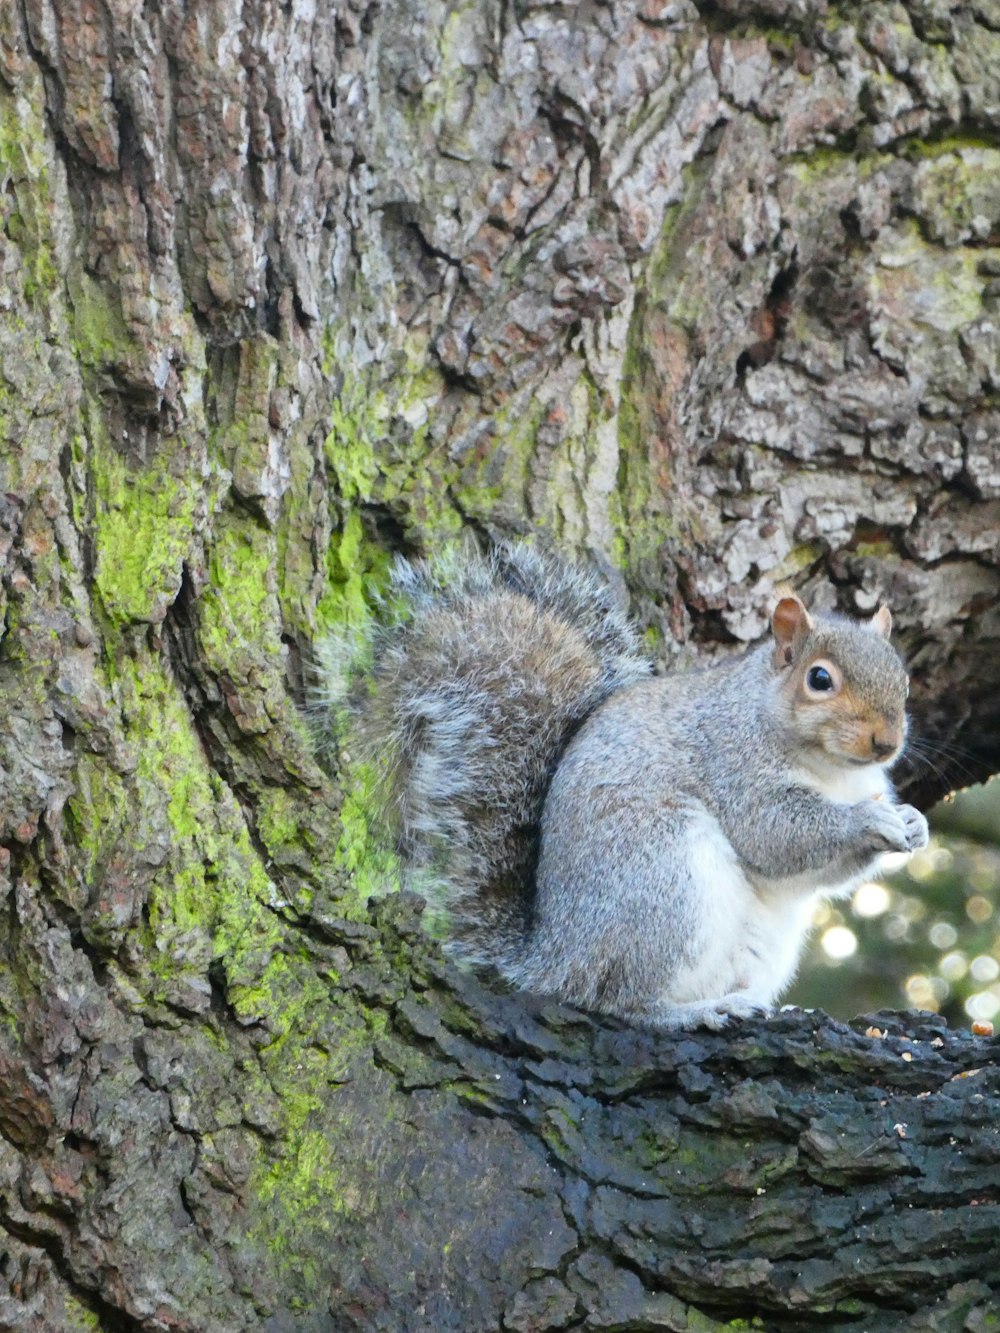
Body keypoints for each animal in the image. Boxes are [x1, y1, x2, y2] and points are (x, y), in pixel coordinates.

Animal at [333, 541, 928, 1029]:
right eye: (820, 679)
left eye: (902, 679)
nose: (886, 743)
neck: (834, 771)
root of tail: (554, 958)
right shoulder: (732, 762)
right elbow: (775, 835)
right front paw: (867, 820)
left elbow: (821, 874)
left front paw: (912, 823)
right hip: (662, 881)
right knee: (617, 1000)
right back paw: (694, 1012)